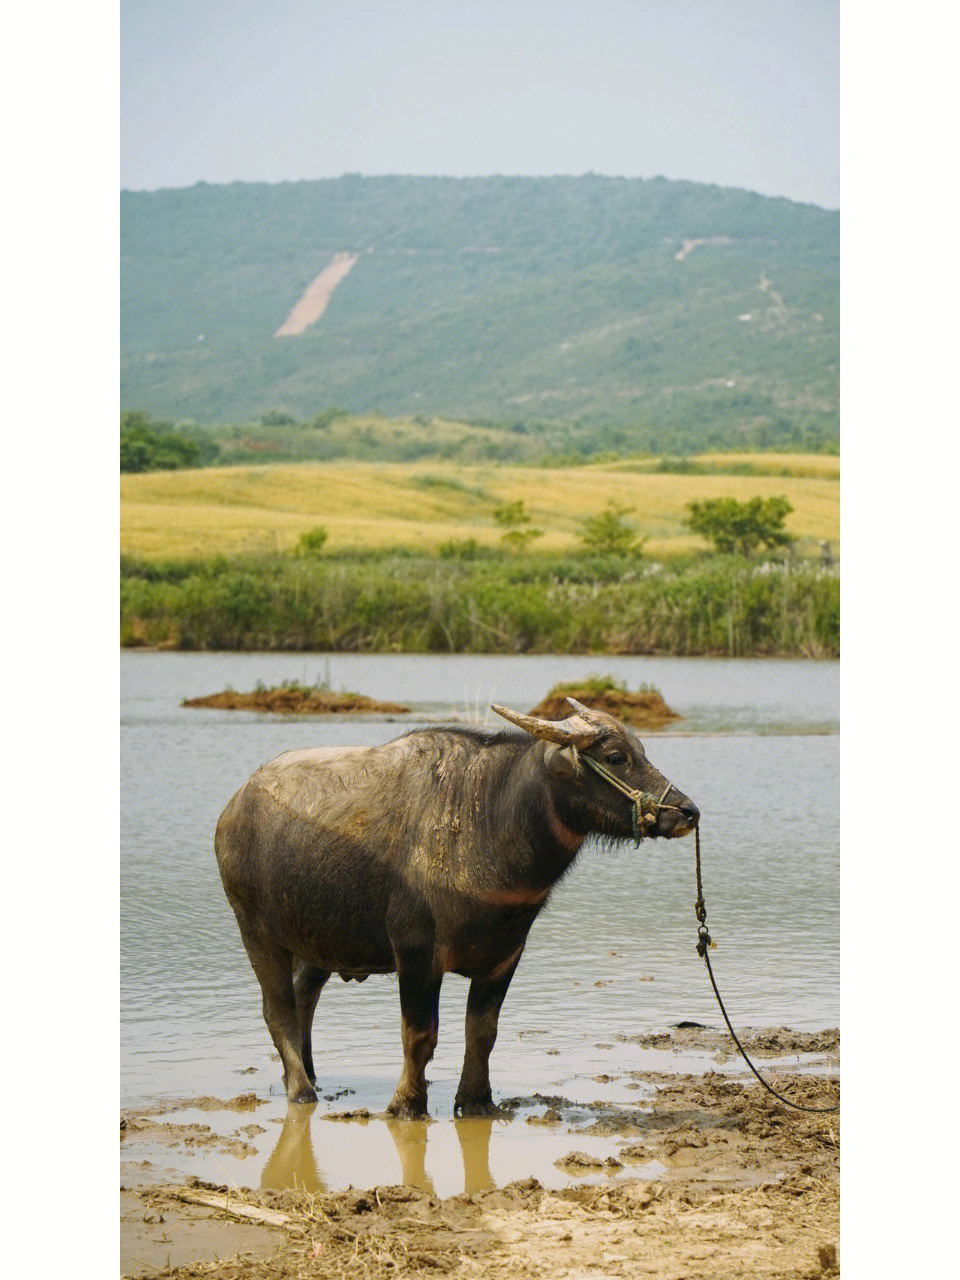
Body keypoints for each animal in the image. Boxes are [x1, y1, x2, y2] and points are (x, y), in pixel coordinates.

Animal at [216, 696, 701, 1116]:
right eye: (617, 757)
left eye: (641, 751)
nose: (688, 812)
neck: (490, 817)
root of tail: (233, 807)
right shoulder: (416, 956)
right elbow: (419, 1036)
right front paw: (407, 1103)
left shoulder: (505, 957)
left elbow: (482, 1033)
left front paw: (477, 1100)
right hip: (255, 932)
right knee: (277, 1009)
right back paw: (301, 1089)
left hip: (320, 939)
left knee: (304, 994)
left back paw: (307, 1073)